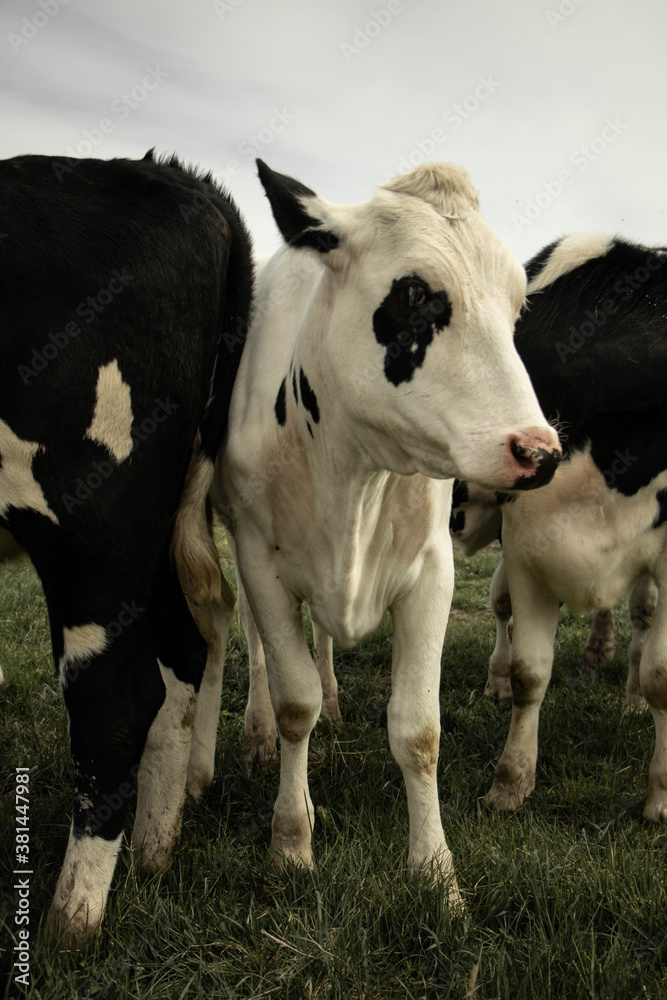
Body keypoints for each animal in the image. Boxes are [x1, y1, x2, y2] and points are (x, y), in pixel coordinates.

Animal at [0, 148, 253, 936]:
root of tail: (194, 187)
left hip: (92, 526)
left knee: (115, 698)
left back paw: (70, 921)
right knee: (183, 651)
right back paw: (152, 849)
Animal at [214, 160, 564, 904]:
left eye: (516, 306)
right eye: (415, 294)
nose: (539, 452)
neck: (353, 473)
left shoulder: (431, 572)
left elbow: (418, 730)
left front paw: (435, 873)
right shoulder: (258, 559)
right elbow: (292, 702)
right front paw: (291, 842)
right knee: (259, 649)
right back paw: (258, 733)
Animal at [454, 232, 667, 820]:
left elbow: (662, 676)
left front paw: (660, 797)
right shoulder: (529, 545)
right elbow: (530, 671)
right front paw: (510, 782)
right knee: (502, 608)